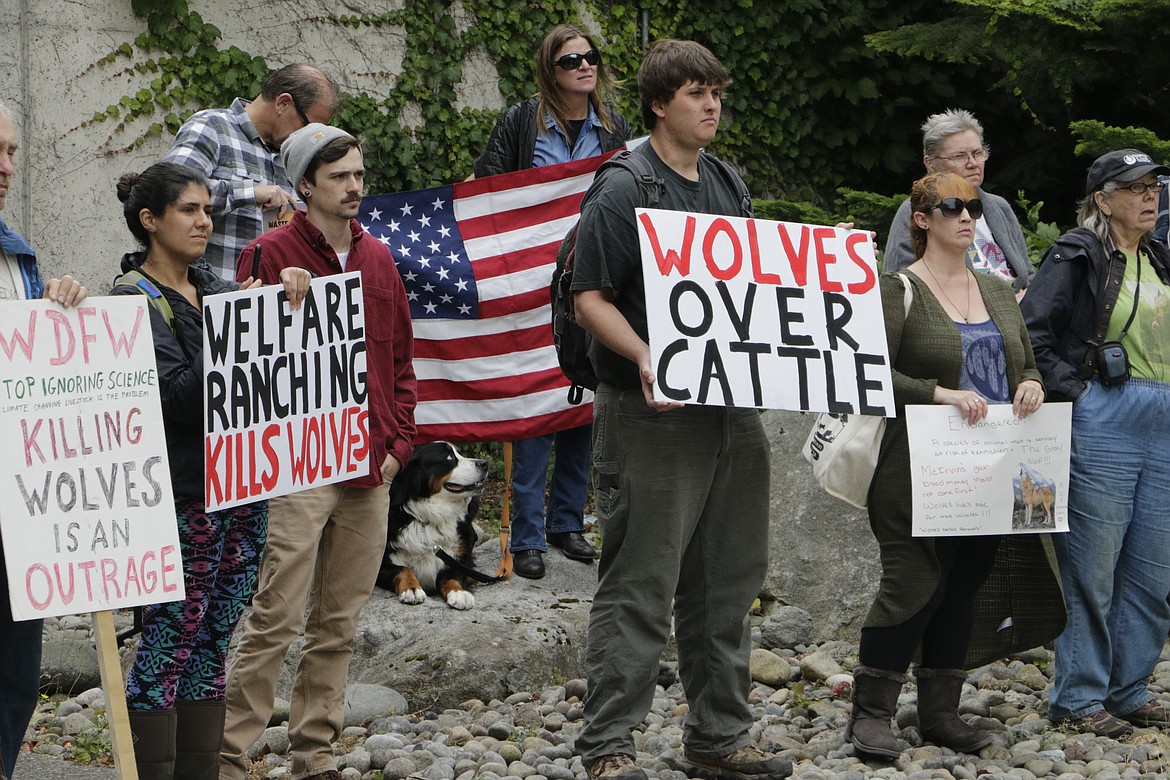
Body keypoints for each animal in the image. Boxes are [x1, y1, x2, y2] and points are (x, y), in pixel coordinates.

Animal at [374, 439, 484, 608]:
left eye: (459, 453)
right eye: (449, 457)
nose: (485, 463)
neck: (431, 518)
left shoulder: (462, 560)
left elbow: (452, 574)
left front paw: (459, 593)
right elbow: (402, 569)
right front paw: (411, 588)